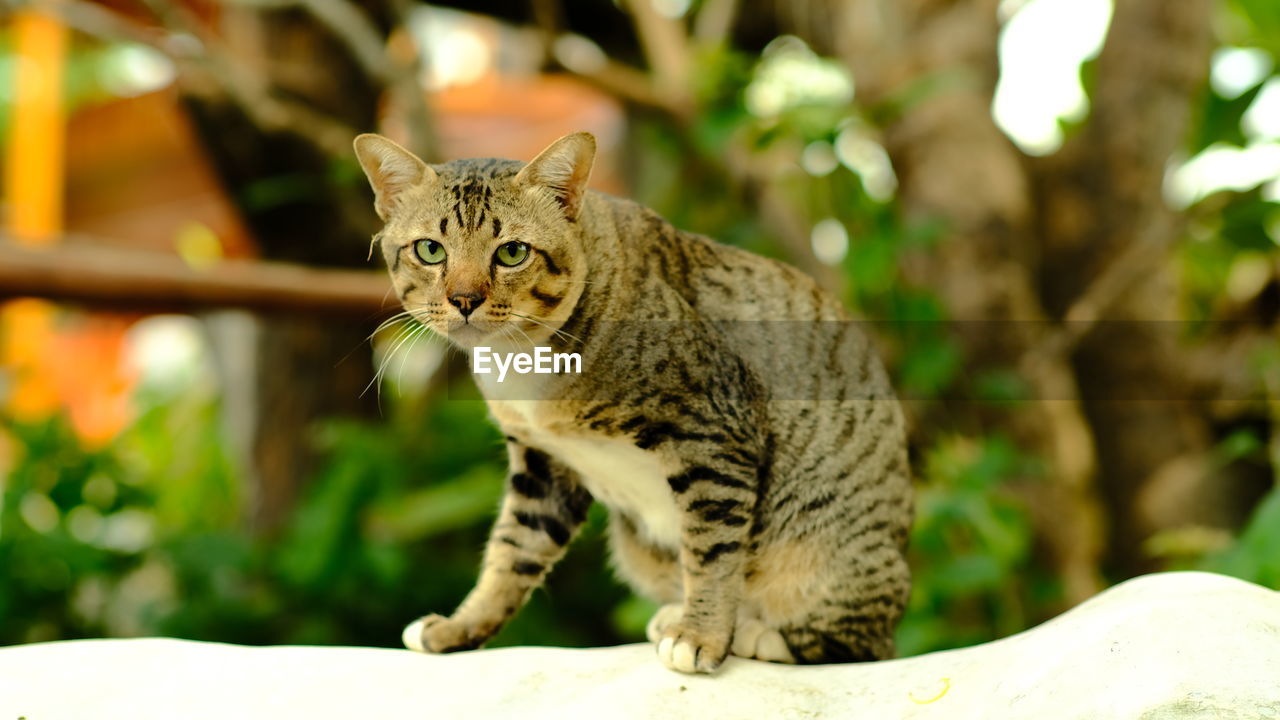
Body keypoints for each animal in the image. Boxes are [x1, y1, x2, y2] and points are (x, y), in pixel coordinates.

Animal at [350, 130, 911, 671]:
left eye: (512, 252)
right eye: (430, 250)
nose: (464, 300)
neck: (520, 358)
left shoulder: (713, 436)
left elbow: (712, 552)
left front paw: (702, 636)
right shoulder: (544, 467)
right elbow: (511, 552)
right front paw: (459, 628)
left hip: (830, 554)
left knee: (860, 640)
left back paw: (751, 632)